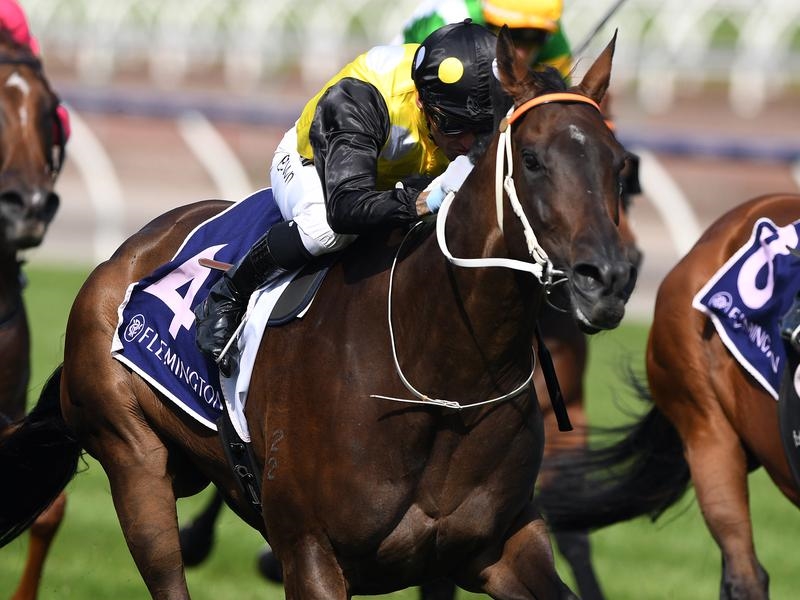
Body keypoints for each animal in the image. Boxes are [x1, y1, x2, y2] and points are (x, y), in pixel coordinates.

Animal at [0, 28, 636, 599]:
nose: (608, 277)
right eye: (531, 159)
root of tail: (122, 256)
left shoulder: (501, 545)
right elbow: (340, 208)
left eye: (620, 164)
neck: (444, 372)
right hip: (135, 462)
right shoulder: (310, 554)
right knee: (318, 225)